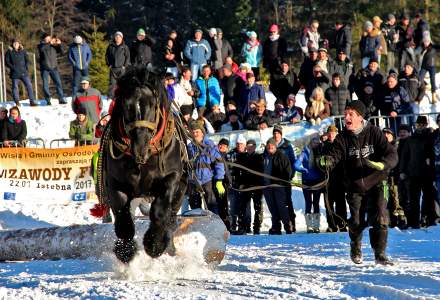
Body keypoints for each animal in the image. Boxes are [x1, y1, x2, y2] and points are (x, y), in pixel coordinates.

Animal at [99, 66, 186, 262]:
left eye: (153, 105)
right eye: (125, 105)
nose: (140, 147)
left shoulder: (172, 177)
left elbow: (160, 212)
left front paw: (154, 245)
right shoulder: (115, 183)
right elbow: (123, 219)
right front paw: (125, 251)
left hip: (180, 191)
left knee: (171, 218)